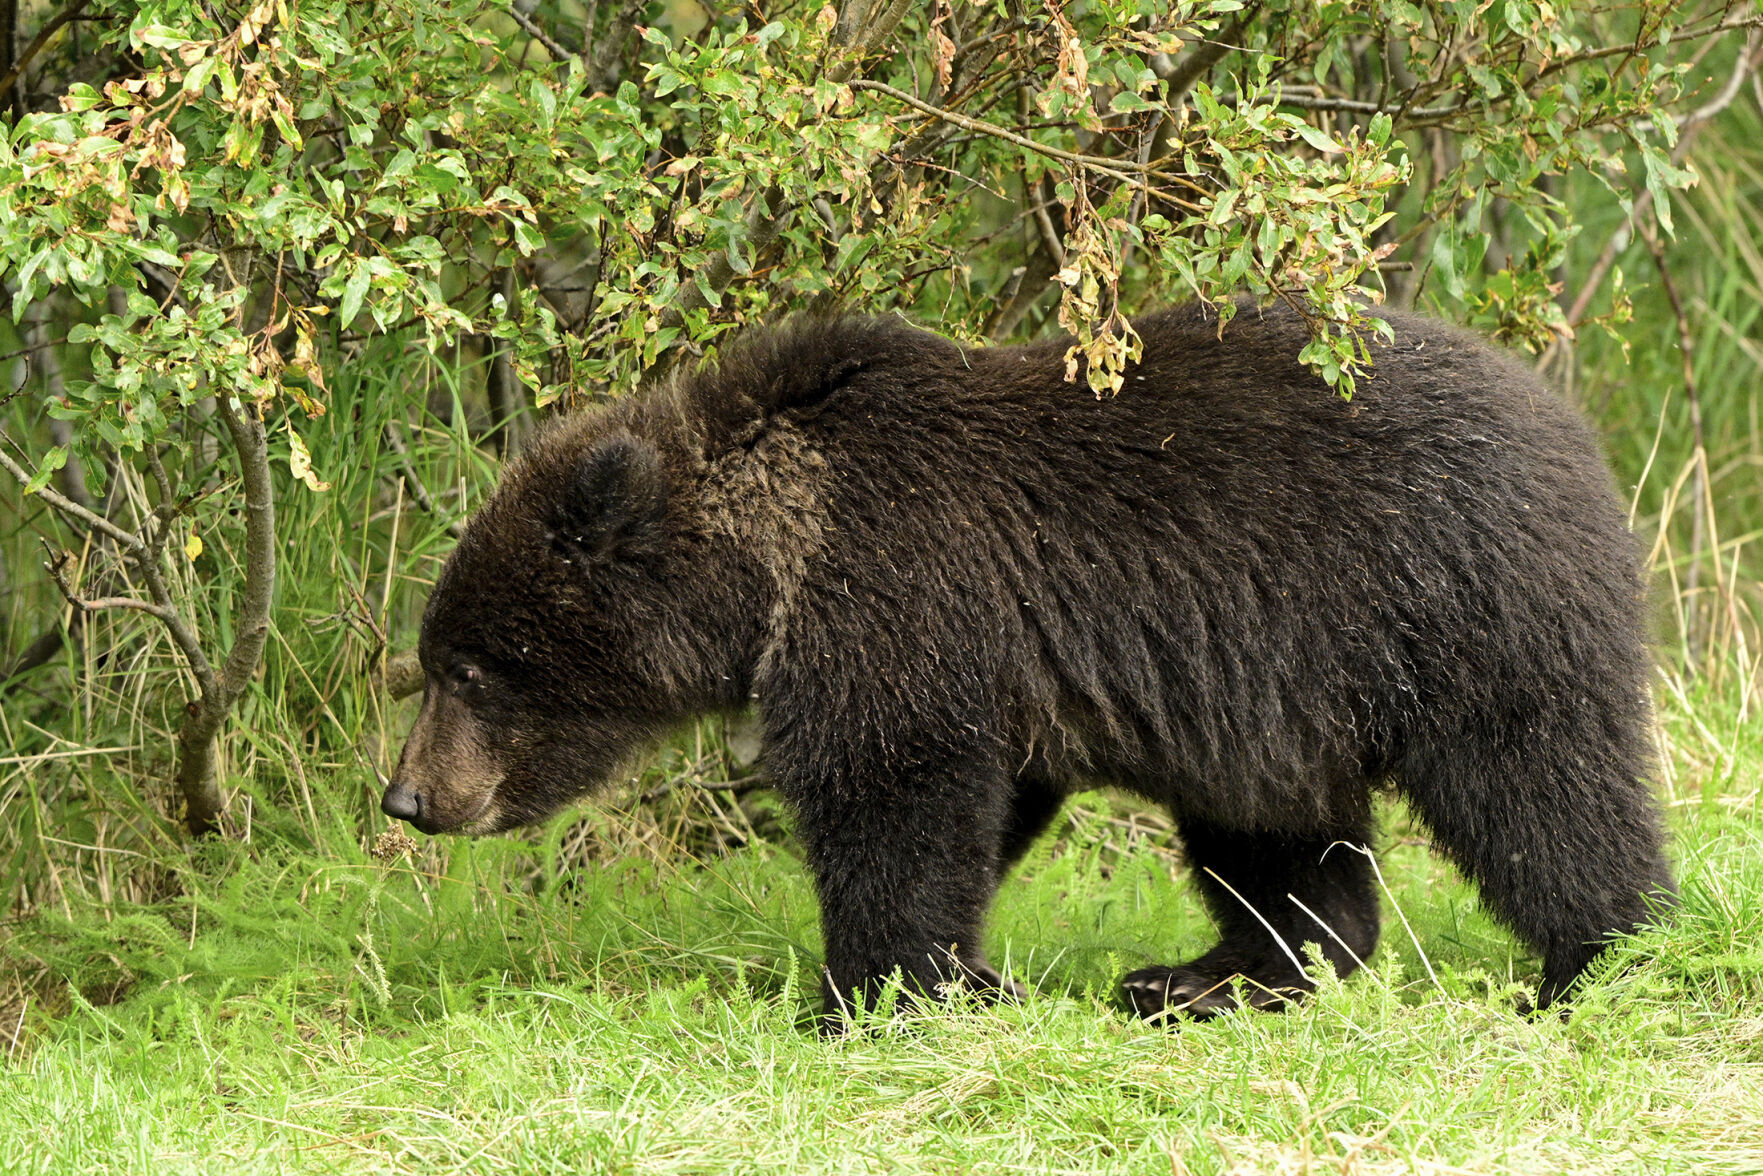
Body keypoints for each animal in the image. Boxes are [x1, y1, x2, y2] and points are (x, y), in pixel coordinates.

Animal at [383, 303, 1674, 1022]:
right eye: (437, 660)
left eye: (470, 669)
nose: (407, 798)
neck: (768, 565)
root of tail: (1570, 426)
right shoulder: (978, 663)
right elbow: (977, 809)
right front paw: (943, 975)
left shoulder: (900, 594)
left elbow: (894, 799)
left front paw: (872, 995)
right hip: (1262, 702)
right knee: (1275, 837)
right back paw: (1206, 975)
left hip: (1452, 609)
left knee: (1540, 786)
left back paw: (1593, 963)